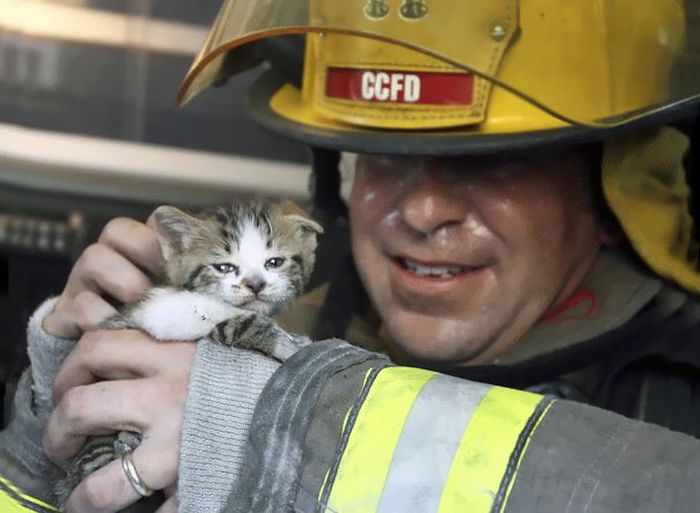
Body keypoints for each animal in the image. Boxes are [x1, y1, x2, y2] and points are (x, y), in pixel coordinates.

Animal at [53, 200, 324, 508]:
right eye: (224, 267)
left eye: (274, 262)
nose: (255, 284)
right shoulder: (169, 311)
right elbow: (240, 320)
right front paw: (288, 346)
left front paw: (295, 338)